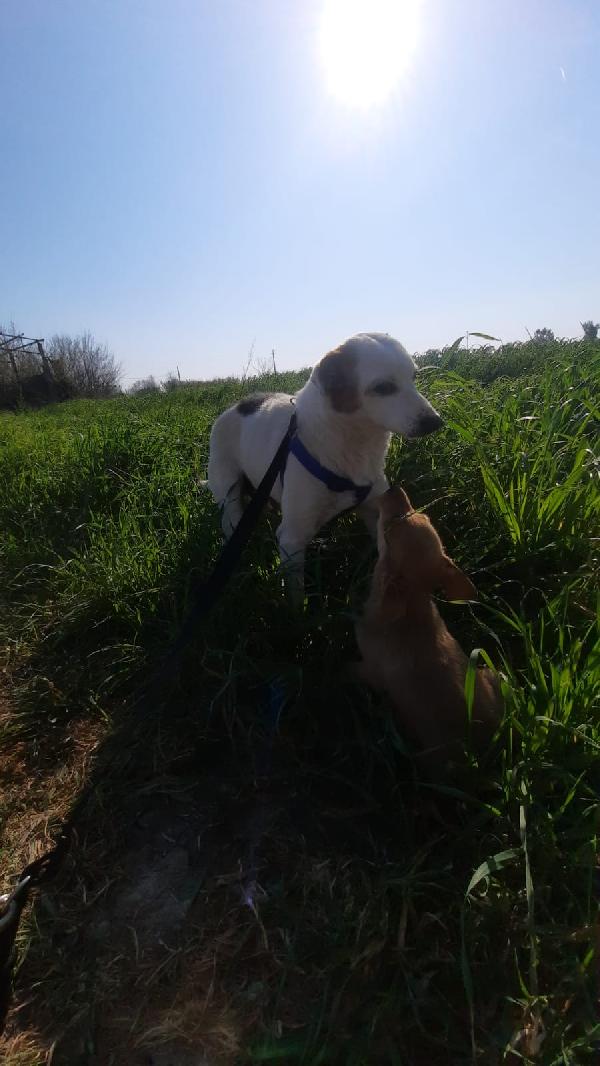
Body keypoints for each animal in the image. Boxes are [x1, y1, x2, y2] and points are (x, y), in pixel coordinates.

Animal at [206, 332, 441, 601]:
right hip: (230, 499)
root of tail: (235, 406)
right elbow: (296, 598)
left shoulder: (375, 512)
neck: (354, 444)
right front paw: (299, 610)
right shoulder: (292, 539)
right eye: (383, 387)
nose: (436, 422)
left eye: (414, 377)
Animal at [355, 488, 503, 771]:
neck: (410, 611)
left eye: (388, 529)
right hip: (491, 673)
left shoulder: (368, 670)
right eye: (421, 514)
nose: (395, 488)